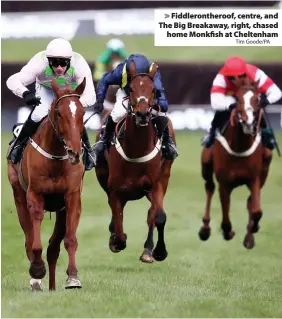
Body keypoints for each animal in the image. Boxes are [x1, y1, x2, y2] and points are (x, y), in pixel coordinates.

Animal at [8, 78, 87, 292]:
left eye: (82, 112)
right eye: (59, 113)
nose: (74, 152)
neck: (56, 158)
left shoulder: (72, 197)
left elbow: (70, 240)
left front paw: (73, 278)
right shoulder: (35, 195)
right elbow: (34, 243)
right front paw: (36, 271)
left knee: (53, 248)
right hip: (18, 195)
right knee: (29, 239)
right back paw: (37, 280)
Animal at [94, 61, 175, 264]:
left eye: (153, 89)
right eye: (131, 88)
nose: (143, 114)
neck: (137, 148)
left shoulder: (155, 185)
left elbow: (158, 216)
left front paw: (157, 251)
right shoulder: (115, 189)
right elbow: (118, 220)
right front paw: (116, 240)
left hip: (164, 175)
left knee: (152, 215)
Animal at [199, 77, 272, 250]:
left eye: (257, 99)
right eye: (237, 99)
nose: (248, 122)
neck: (239, 147)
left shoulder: (254, 179)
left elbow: (256, 210)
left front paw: (252, 232)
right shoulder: (224, 183)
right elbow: (225, 220)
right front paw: (228, 232)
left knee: (251, 201)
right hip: (206, 164)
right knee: (209, 188)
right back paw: (205, 229)